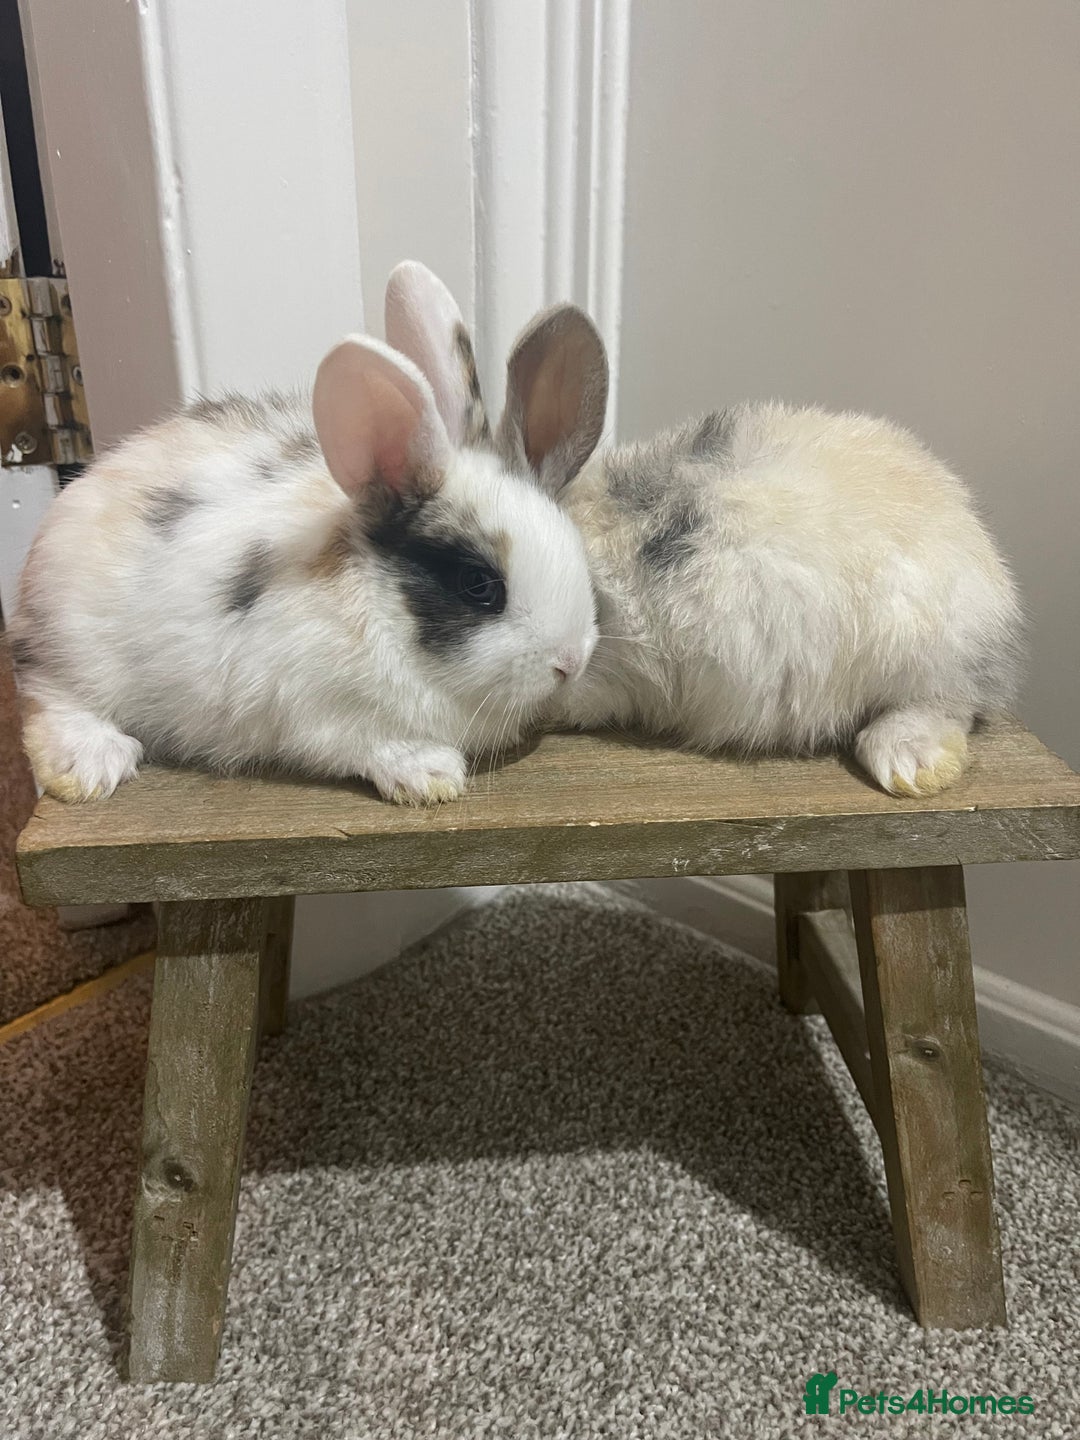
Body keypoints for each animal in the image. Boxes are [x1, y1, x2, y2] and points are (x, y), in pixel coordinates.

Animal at [10, 262, 605, 806]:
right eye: (478, 585)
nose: (570, 662)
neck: (379, 609)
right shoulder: (315, 711)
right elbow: (365, 744)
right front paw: (429, 774)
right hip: (75, 649)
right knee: (44, 693)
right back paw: (90, 765)